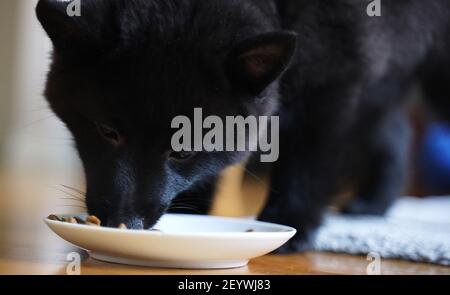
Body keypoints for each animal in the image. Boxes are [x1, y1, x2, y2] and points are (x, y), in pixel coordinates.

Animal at [37, 0, 448, 252]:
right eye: (108, 132)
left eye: (182, 150)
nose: (124, 222)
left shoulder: (337, 84)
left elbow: (308, 165)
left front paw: (289, 225)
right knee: (395, 132)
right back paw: (373, 204)